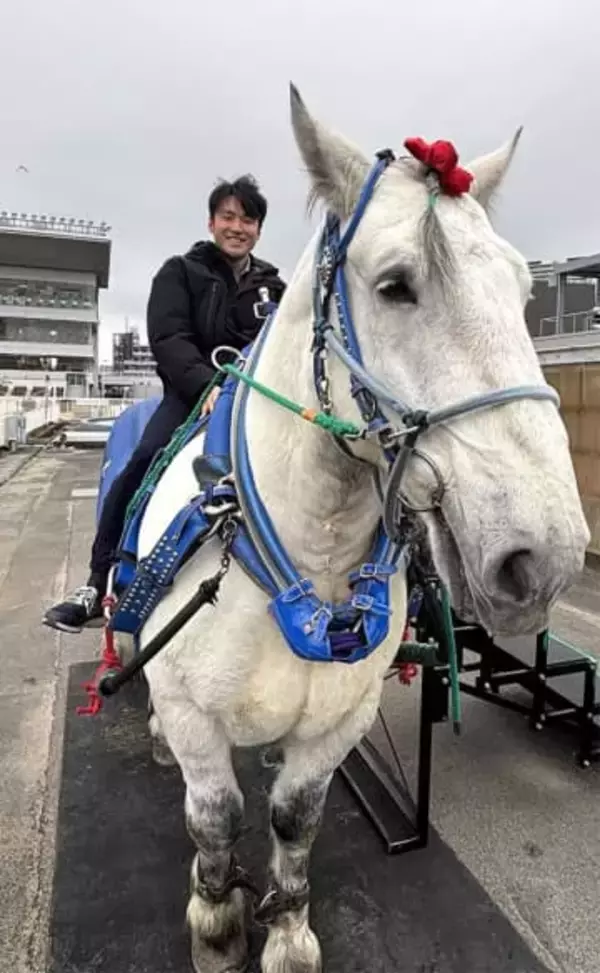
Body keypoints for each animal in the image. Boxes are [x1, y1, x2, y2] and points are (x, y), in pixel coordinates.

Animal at [124, 86, 589, 973]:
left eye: (524, 294)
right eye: (397, 285)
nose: (543, 558)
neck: (307, 553)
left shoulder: (337, 722)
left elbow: (295, 819)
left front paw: (288, 932)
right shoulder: (198, 718)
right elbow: (214, 819)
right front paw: (217, 921)